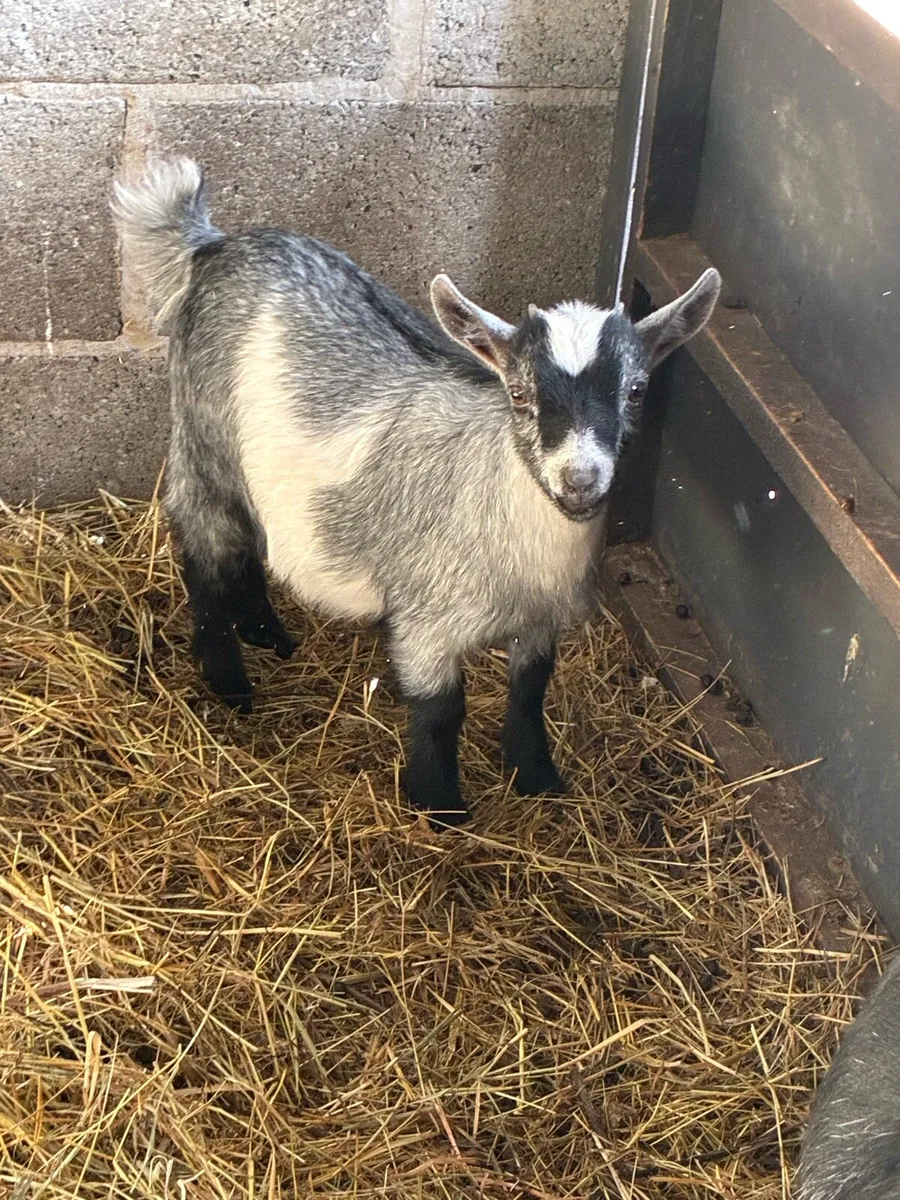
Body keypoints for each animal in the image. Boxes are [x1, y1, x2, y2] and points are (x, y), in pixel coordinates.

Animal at [112, 157, 720, 826]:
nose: (580, 478)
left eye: (636, 391)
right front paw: (440, 807)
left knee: (248, 540)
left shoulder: (541, 622)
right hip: (201, 440)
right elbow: (440, 711)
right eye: (518, 393)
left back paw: (268, 634)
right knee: (204, 549)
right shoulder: (427, 620)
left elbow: (530, 690)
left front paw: (536, 777)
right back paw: (229, 680)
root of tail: (212, 245)